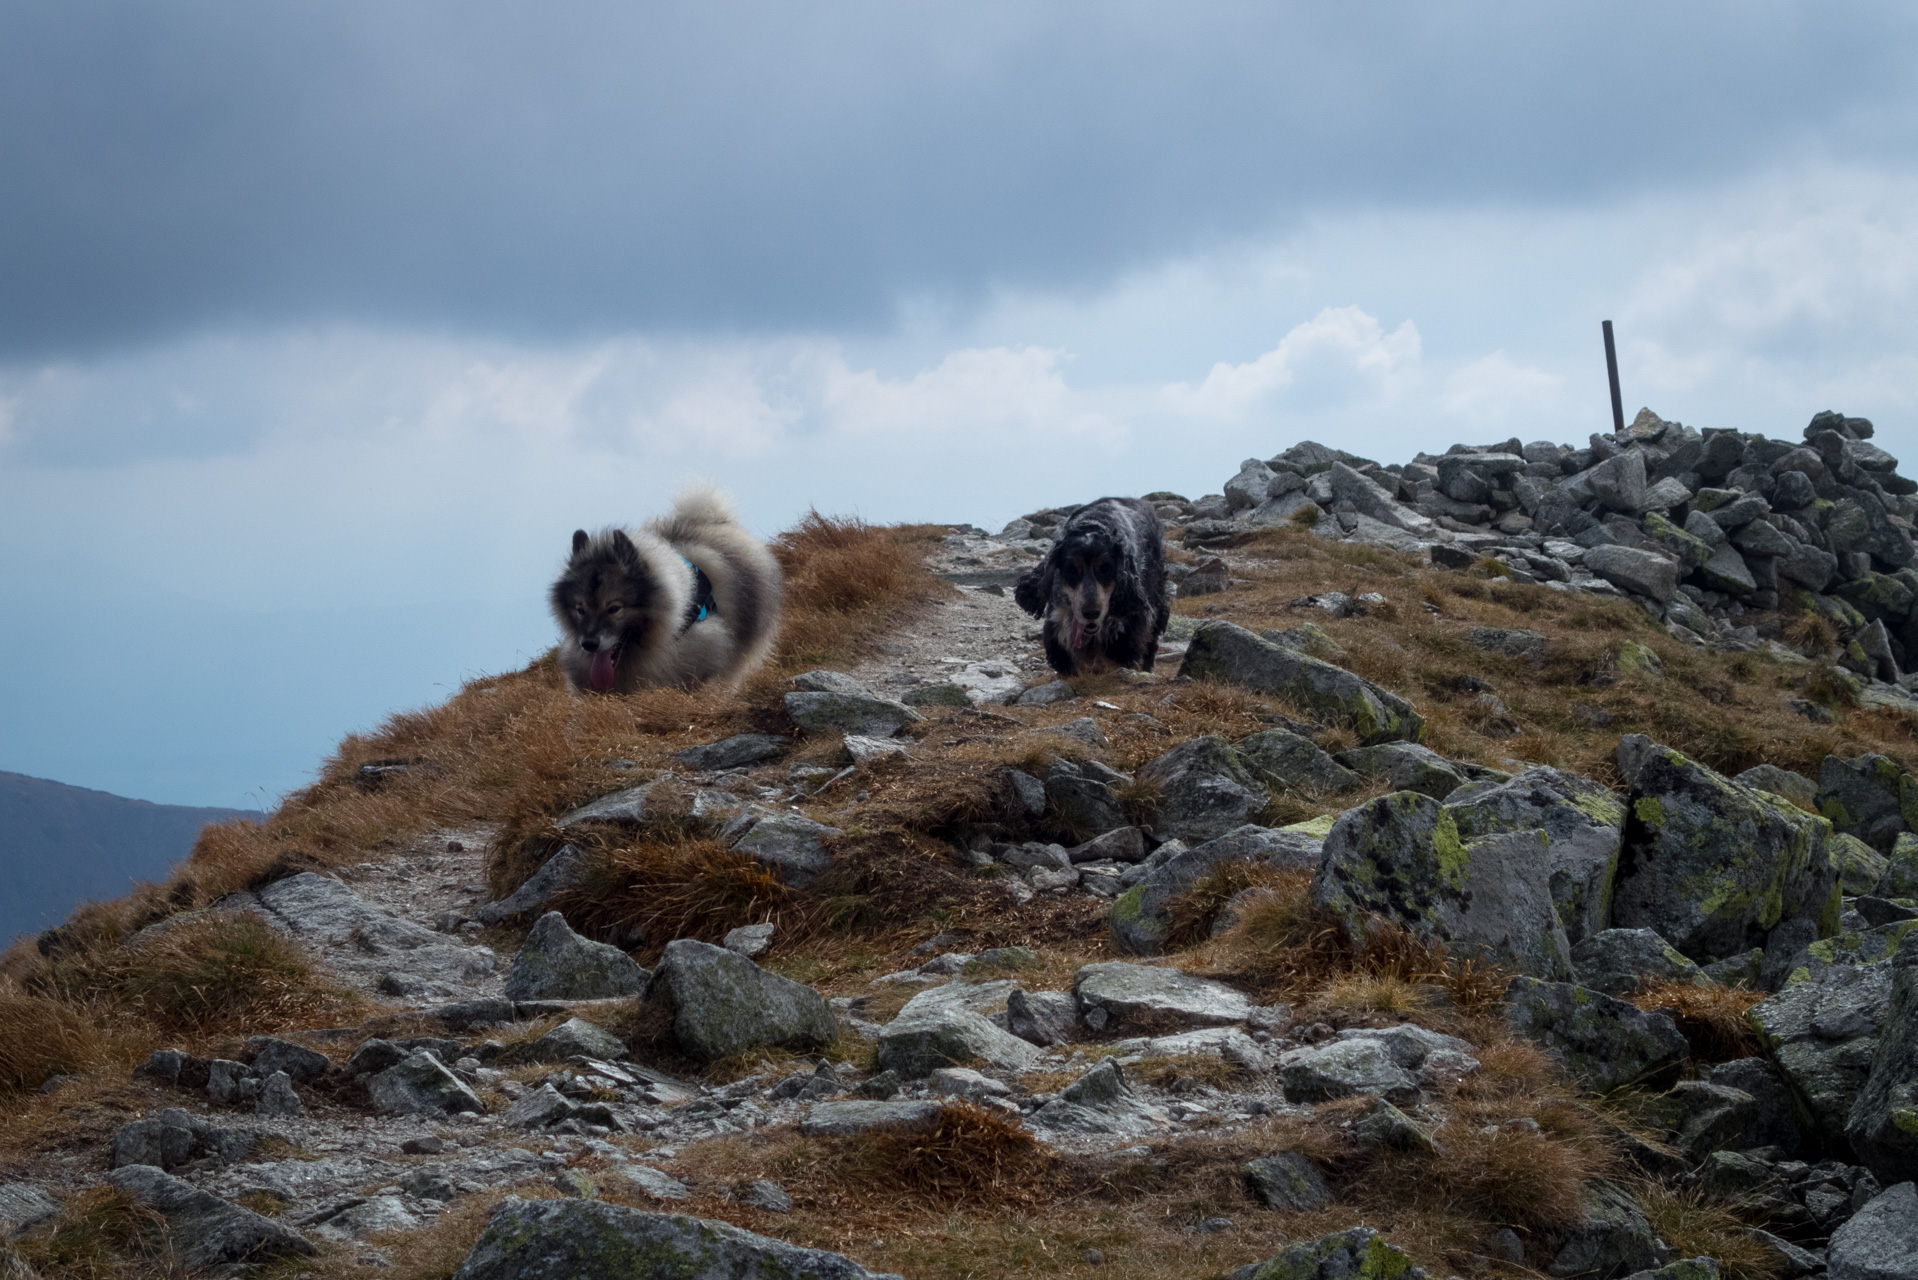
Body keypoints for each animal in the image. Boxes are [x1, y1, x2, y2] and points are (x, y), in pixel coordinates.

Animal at [1012, 498, 1173, 679]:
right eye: (1071, 569)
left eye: (1105, 569)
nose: (1091, 613)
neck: (1093, 525)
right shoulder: (1057, 619)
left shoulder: (1132, 621)